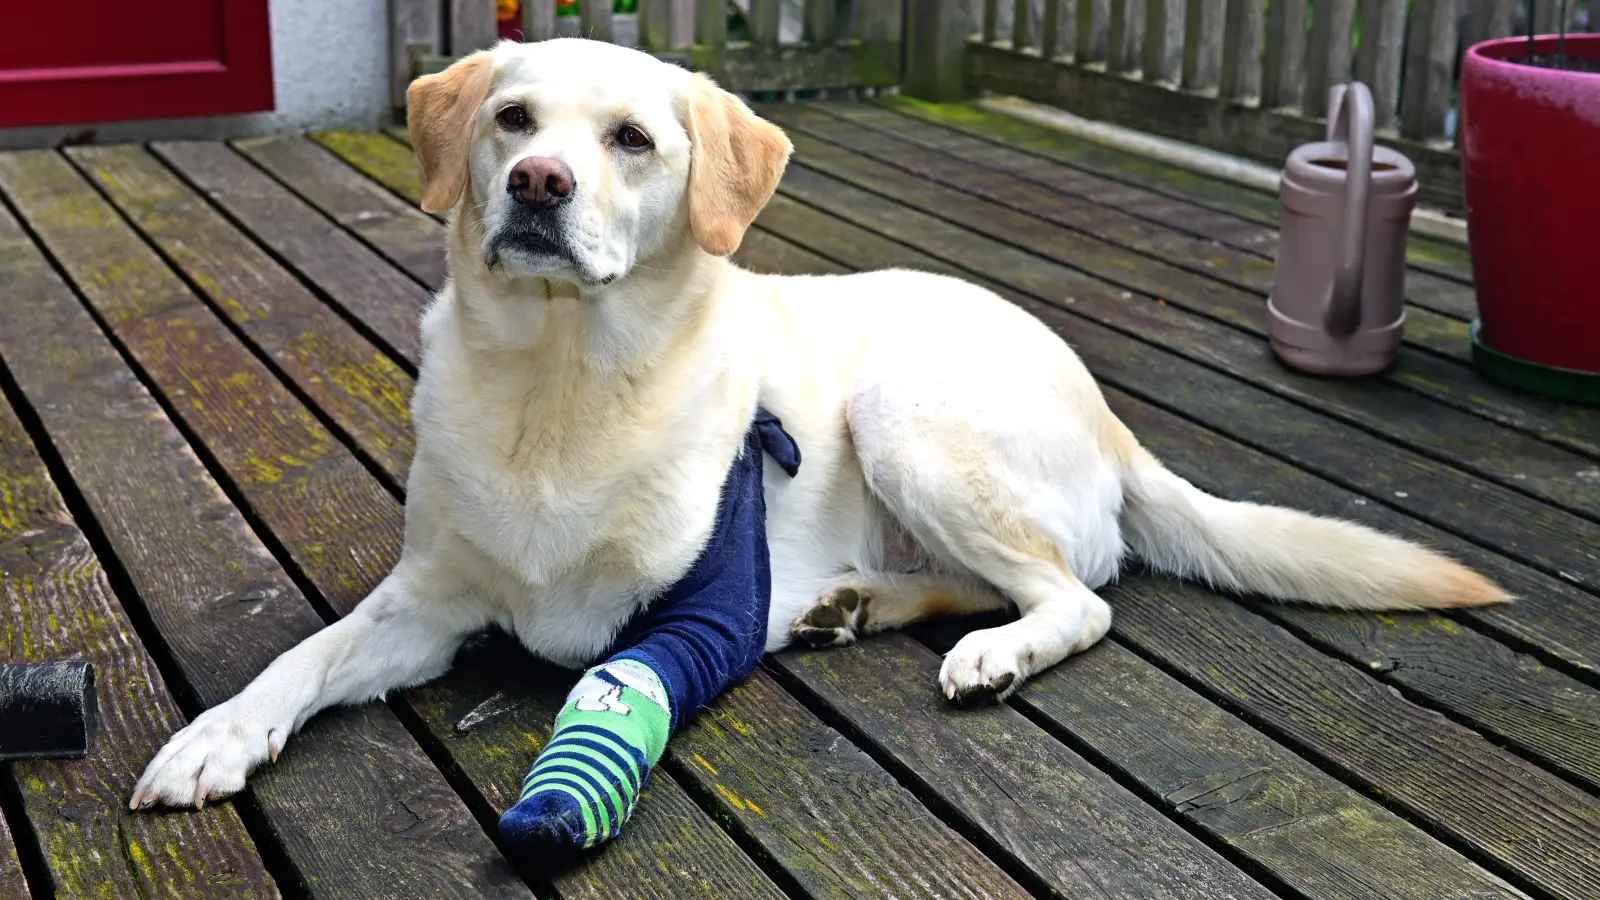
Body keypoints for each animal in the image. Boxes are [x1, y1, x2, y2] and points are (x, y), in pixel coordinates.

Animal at [131, 36, 1504, 807]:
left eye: (631, 140)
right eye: (512, 119)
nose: (536, 184)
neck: (560, 390)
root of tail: (1113, 419)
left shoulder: (692, 611)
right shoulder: (424, 606)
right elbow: (306, 657)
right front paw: (215, 737)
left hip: (905, 408)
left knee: (1077, 598)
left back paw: (985, 650)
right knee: (981, 580)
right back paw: (847, 606)